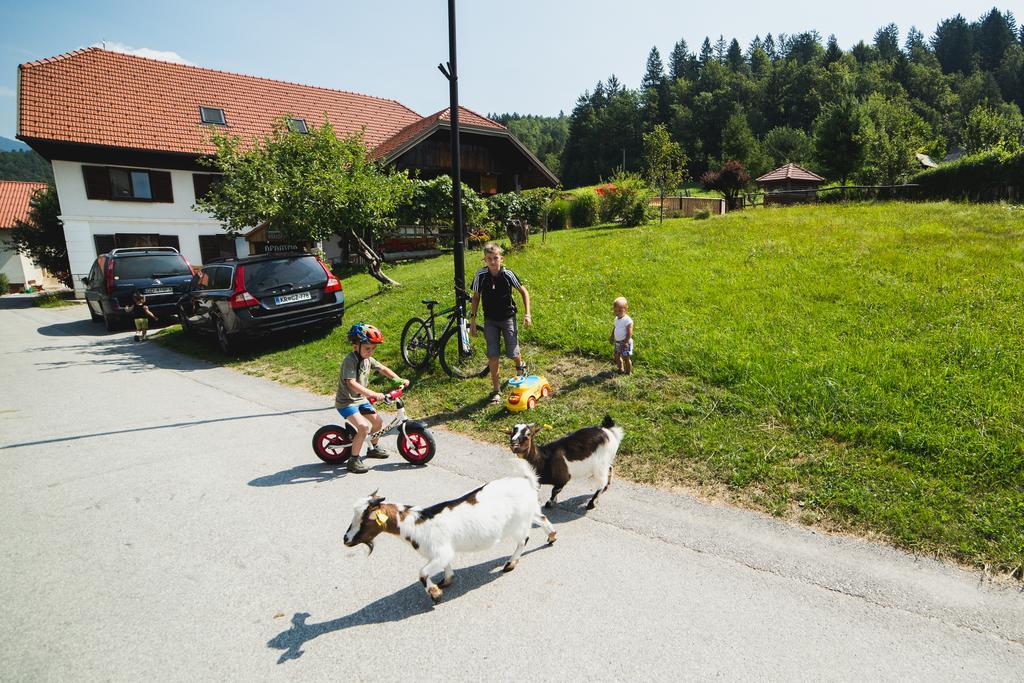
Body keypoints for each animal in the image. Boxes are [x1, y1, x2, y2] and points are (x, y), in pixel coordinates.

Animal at [344, 473, 557, 602]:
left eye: (364, 520)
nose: (346, 539)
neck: (416, 523)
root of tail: (526, 482)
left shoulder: (440, 552)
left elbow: (422, 573)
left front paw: (435, 594)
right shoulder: (443, 553)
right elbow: (445, 566)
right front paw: (446, 581)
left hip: (518, 522)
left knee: (523, 539)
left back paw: (510, 564)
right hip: (527, 512)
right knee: (541, 518)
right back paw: (552, 536)